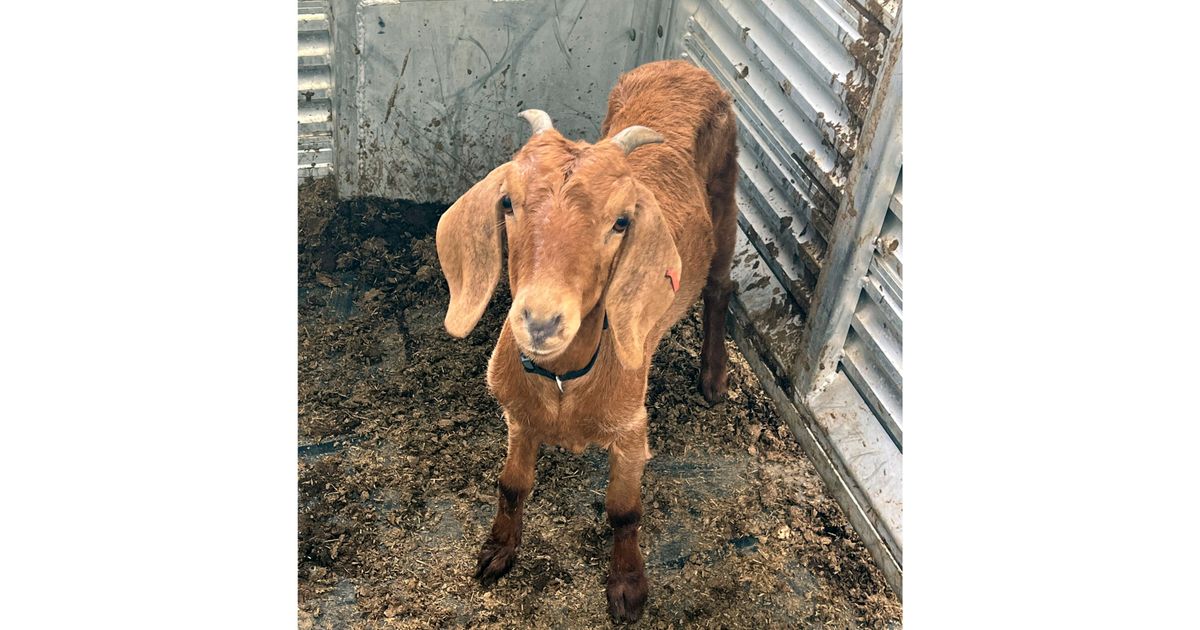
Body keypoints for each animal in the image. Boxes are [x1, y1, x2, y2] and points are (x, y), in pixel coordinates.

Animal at [435, 60, 738, 622]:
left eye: (621, 221)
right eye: (508, 202)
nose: (541, 320)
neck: (563, 384)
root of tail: (681, 64)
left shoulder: (631, 429)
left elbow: (624, 510)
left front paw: (628, 587)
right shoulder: (518, 417)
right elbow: (511, 484)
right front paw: (498, 550)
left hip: (727, 193)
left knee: (719, 285)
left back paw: (713, 377)